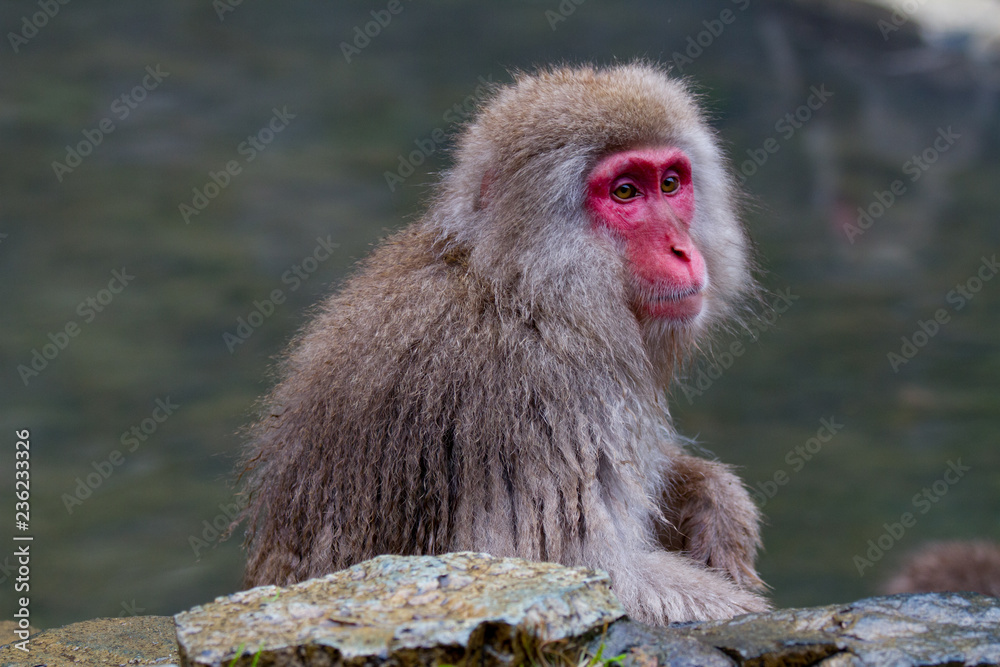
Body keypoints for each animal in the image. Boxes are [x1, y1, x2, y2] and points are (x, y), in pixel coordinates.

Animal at [234, 63, 769, 625]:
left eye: (670, 183)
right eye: (625, 192)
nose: (682, 250)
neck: (522, 287)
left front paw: (713, 498)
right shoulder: (542, 399)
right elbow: (576, 572)